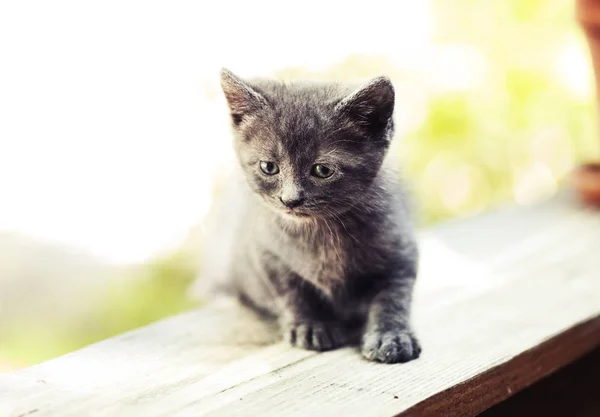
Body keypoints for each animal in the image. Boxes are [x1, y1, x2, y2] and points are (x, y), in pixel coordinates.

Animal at [206, 70, 422, 362]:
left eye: (322, 170)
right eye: (268, 167)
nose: (290, 199)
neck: (322, 233)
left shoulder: (400, 248)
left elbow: (393, 296)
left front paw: (391, 336)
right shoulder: (266, 252)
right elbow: (291, 292)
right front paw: (310, 326)